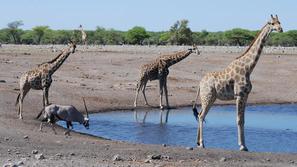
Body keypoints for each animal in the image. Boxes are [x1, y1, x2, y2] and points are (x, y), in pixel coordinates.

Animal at [192, 15, 282, 151]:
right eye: (271, 23)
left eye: (279, 22)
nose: (280, 29)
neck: (248, 68)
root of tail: (199, 84)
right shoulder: (239, 95)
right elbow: (239, 120)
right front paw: (242, 146)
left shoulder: (245, 96)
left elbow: (243, 120)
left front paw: (245, 145)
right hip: (207, 97)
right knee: (202, 116)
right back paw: (202, 143)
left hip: (209, 98)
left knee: (200, 115)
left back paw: (198, 142)